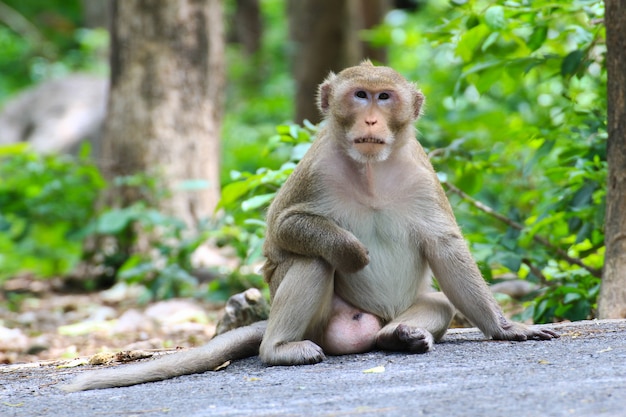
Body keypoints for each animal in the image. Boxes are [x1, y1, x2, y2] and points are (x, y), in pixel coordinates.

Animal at [59, 60, 556, 392]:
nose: (371, 118)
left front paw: (506, 328)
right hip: (316, 321)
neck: (370, 170)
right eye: (360, 95)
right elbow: (281, 230)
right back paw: (281, 347)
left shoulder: (422, 174)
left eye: (384, 97)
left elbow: (446, 247)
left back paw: (399, 336)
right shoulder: (315, 168)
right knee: (312, 261)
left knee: (437, 303)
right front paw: (352, 251)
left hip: (390, 314)